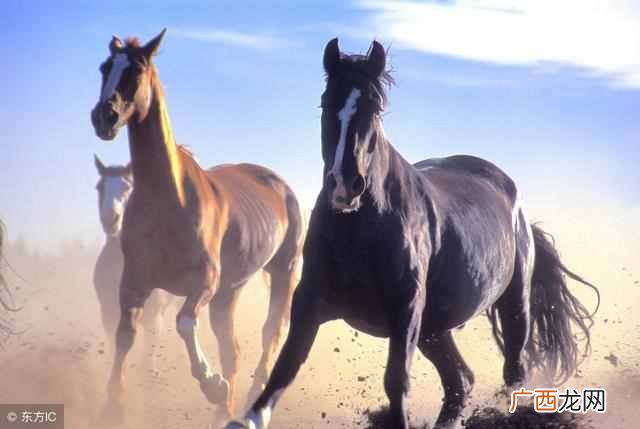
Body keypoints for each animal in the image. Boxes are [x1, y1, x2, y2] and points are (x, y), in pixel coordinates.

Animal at [93, 155, 174, 371]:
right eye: (99, 187)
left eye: (127, 186)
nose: (110, 219)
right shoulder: (108, 314)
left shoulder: (154, 319)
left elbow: (147, 356)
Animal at [226, 39, 600, 429]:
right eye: (327, 101)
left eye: (375, 105)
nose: (345, 185)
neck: (358, 233)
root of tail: (517, 207)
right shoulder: (310, 302)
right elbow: (283, 370)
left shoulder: (405, 310)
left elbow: (396, 381)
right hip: (434, 329)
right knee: (460, 382)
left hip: (512, 305)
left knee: (513, 370)